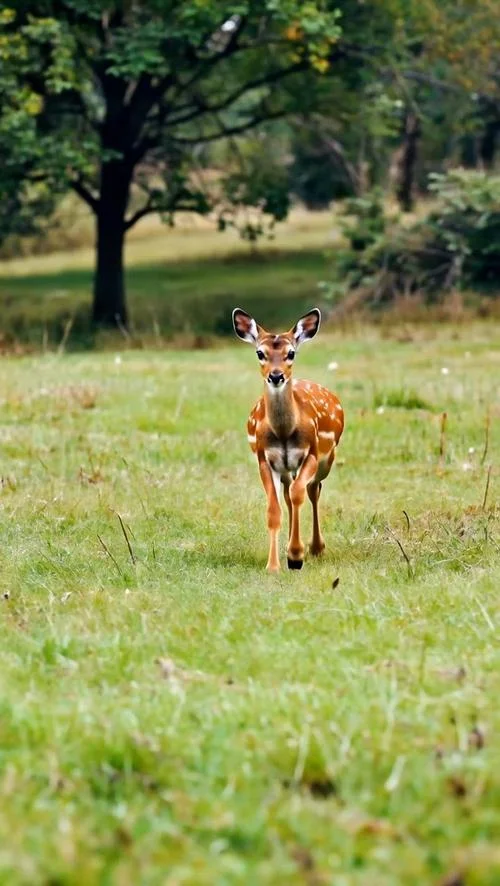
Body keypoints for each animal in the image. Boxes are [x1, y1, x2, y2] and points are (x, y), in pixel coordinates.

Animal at [232, 307, 344, 572]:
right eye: (260, 353)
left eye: (291, 353)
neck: (284, 432)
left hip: (327, 458)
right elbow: (274, 509)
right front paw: (274, 565)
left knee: (312, 489)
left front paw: (296, 556)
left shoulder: (311, 452)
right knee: (289, 492)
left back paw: (316, 547)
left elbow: (298, 494)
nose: (276, 376)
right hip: (286, 468)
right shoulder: (265, 459)